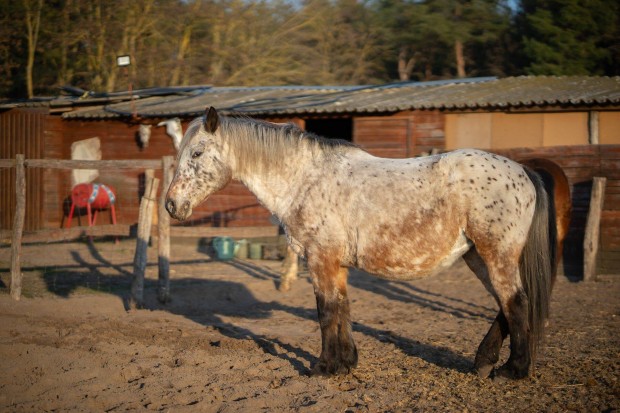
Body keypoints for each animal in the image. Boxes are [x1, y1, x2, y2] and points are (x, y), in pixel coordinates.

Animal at [166, 107, 556, 380]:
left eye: (197, 153)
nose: (172, 204)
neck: (305, 178)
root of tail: (522, 171)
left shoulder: (319, 259)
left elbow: (326, 312)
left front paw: (323, 367)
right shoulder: (334, 264)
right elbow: (342, 309)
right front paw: (345, 363)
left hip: (496, 255)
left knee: (516, 303)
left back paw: (513, 370)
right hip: (477, 257)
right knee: (505, 305)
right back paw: (483, 363)